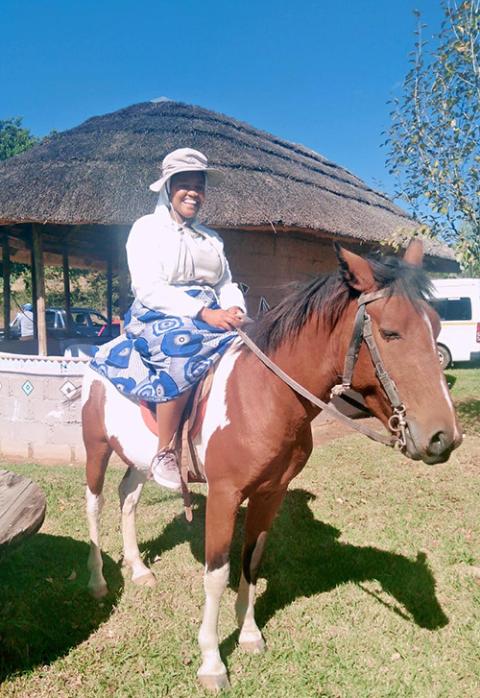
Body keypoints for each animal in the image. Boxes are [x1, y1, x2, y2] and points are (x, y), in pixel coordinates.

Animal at [81, 242, 462, 688]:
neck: (265, 394)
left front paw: (249, 635)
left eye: (436, 327)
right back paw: (98, 580)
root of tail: (98, 354)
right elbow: (217, 573)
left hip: (137, 459)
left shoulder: (271, 493)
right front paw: (212, 661)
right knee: (95, 506)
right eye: (390, 332)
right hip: (95, 449)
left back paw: (139, 570)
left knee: (128, 498)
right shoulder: (225, 496)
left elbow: (252, 561)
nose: (443, 437)